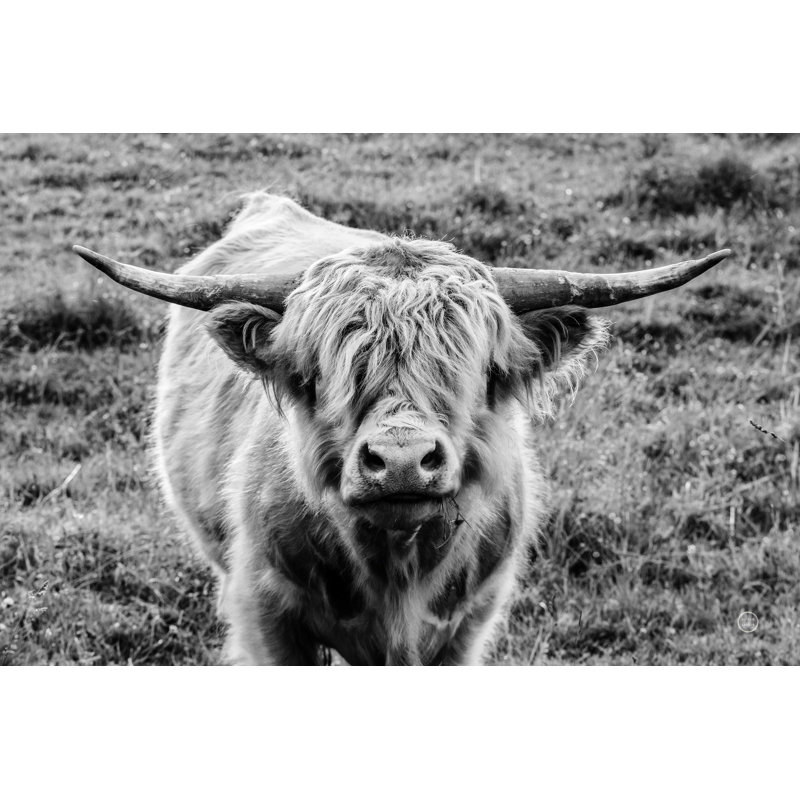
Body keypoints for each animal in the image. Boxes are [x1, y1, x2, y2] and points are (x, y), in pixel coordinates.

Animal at [74, 192, 729, 665]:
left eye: (479, 370)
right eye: (323, 371)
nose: (402, 461)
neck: (396, 569)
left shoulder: (468, 625)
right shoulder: (266, 613)